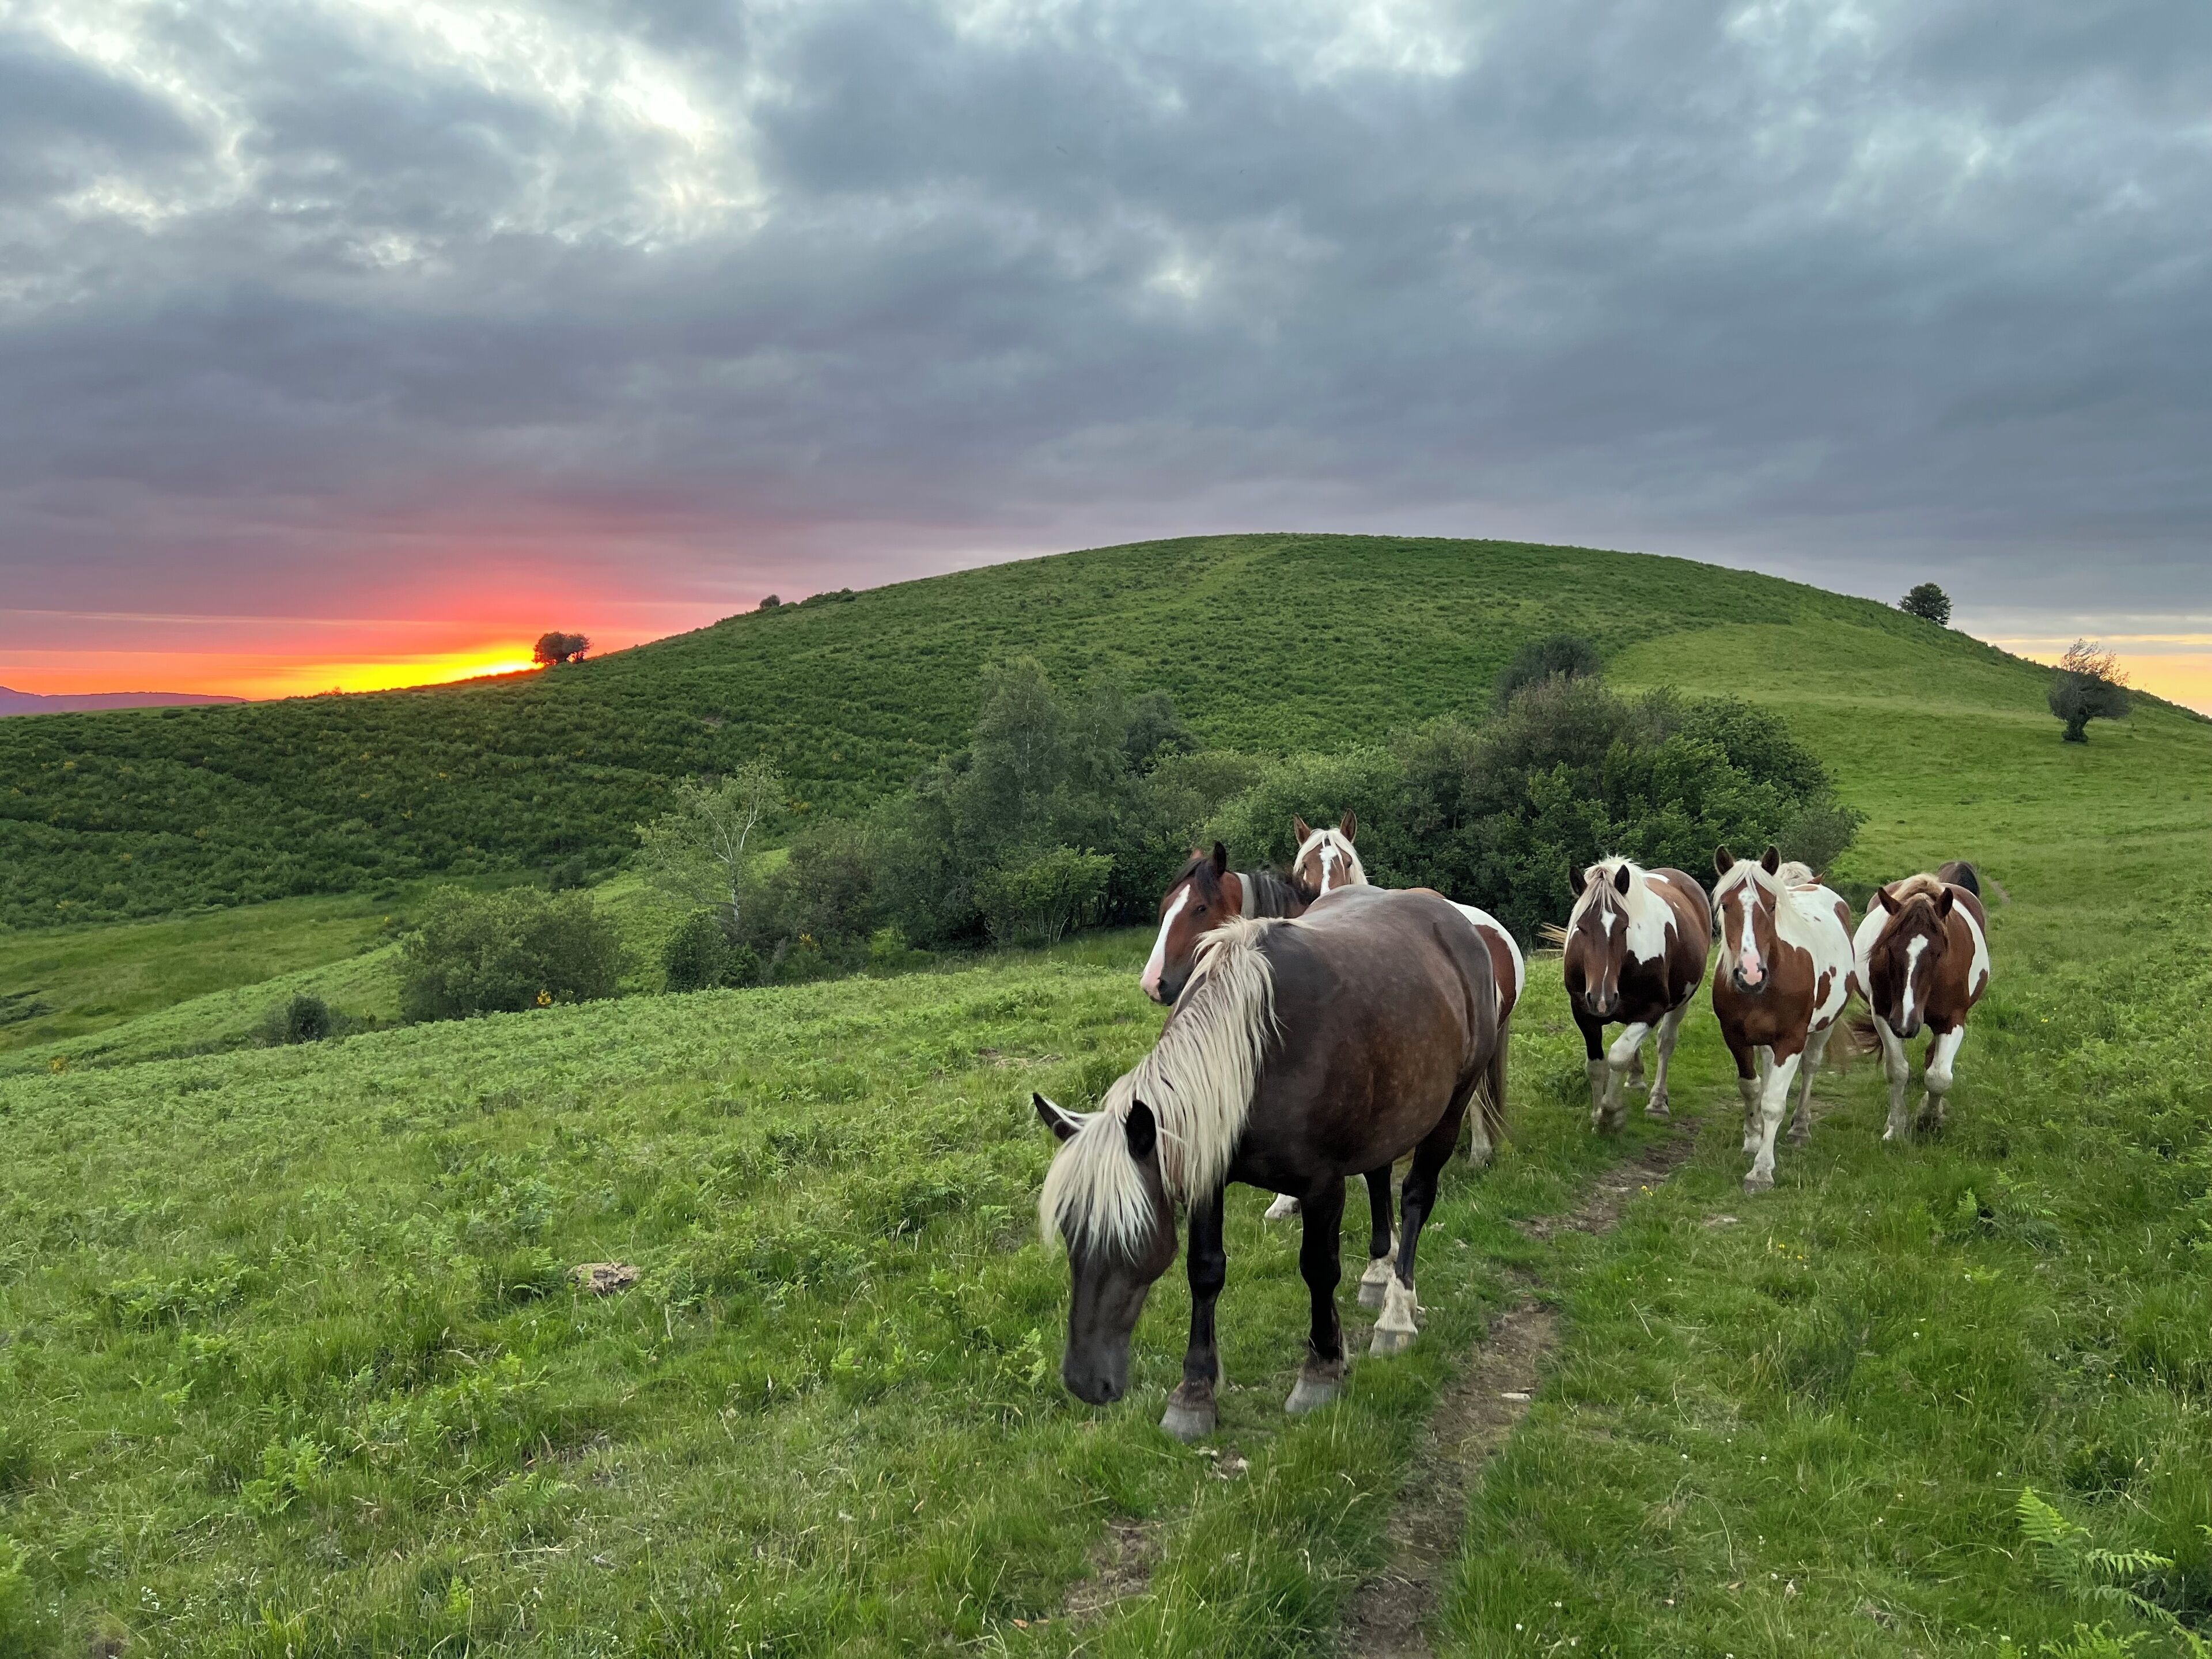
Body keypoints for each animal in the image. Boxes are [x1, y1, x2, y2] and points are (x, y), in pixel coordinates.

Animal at [1036, 883, 1504, 1439]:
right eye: (1069, 1231)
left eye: (1134, 1237)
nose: (1085, 1382)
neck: (1256, 1051)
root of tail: (1457, 921)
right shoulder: (1207, 1171)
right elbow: (1205, 1271)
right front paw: (1194, 1390)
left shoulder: (1322, 1186)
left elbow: (1319, 1269)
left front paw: (1321, 1369)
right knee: (1378, 1174)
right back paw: (1377, 1274)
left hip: (1451, 1109)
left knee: (1415, 1197)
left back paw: (1397, 1311)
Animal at [1560, 857, 1711, 1133]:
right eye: (1581, 927)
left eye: (1623, 927)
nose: (1601, 999)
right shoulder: (1583, 1012)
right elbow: (1596, 1066)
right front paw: (1597, 1116)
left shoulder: (1651, 1009)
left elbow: (1619, 1056)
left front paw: (1610, 1115)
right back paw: (1636, 1079)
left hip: (1682, 1001)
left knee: (1665, 1043)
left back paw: (1658, 1102)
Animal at [1711, 845, 1856, 1191]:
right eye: (1725, 905)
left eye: (1773, 905)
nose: (1750, 974)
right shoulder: (1734, 1037)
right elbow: (1751, 1088)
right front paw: (1753, 1138)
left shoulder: (1791, 1040)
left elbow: (1774, 1103)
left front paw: (1761, 1170)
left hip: (1823, 1028)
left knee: (1811, 1067)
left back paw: (1800, 1128)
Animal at [1851, 861, 1991, 1141]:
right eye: (1889, 949)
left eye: (1938, 954)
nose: (1906, 1024)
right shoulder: (1884, 1015)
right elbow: (1897, 1071)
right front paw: (1896, 1128)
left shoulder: (1953, 1021)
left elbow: (1939, 1077)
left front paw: (1929, 1118)